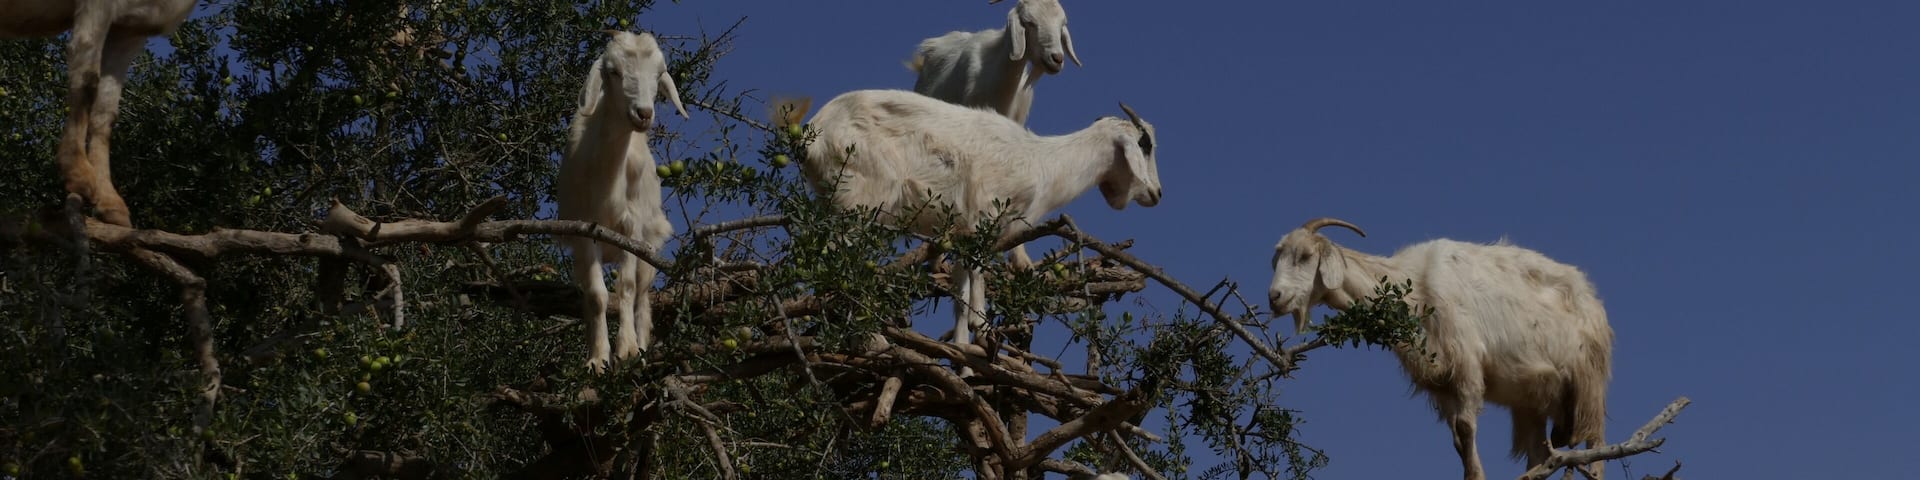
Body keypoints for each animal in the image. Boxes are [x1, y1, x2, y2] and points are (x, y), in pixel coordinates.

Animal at [556, 30, 687, 369]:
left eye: (658, 74)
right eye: (613, 72)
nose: (643, 113)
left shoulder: (632, 229)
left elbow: (626, 288)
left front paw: (626, 349)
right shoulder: (584, 231)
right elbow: (597, 295)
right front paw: (597, 360)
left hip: (651, 247)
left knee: (642, 298)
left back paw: (641, 347)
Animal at [773, 89, 1160, 368]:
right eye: (1146, 144)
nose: (1156, 193)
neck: (1043, 162)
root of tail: (813, 136)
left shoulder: (959, 233)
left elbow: (959, 293)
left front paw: (965, 359)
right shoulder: (984, 215)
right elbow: (979, 275)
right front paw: (982, 327)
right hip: (859, 202)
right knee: (841, 262)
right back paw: (868, 339)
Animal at [1266, 218, 1613, 480]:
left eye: (1305, 256)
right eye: (1277, 259)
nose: (1275, 297)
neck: (1413, 289)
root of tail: (1593, 300)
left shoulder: (1467, 365)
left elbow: (1466, 428)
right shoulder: (1441, 384)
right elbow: (1458, 441)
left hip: (1588, 386)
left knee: (1596, 447)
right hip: (1532, 401)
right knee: (1539, 453)